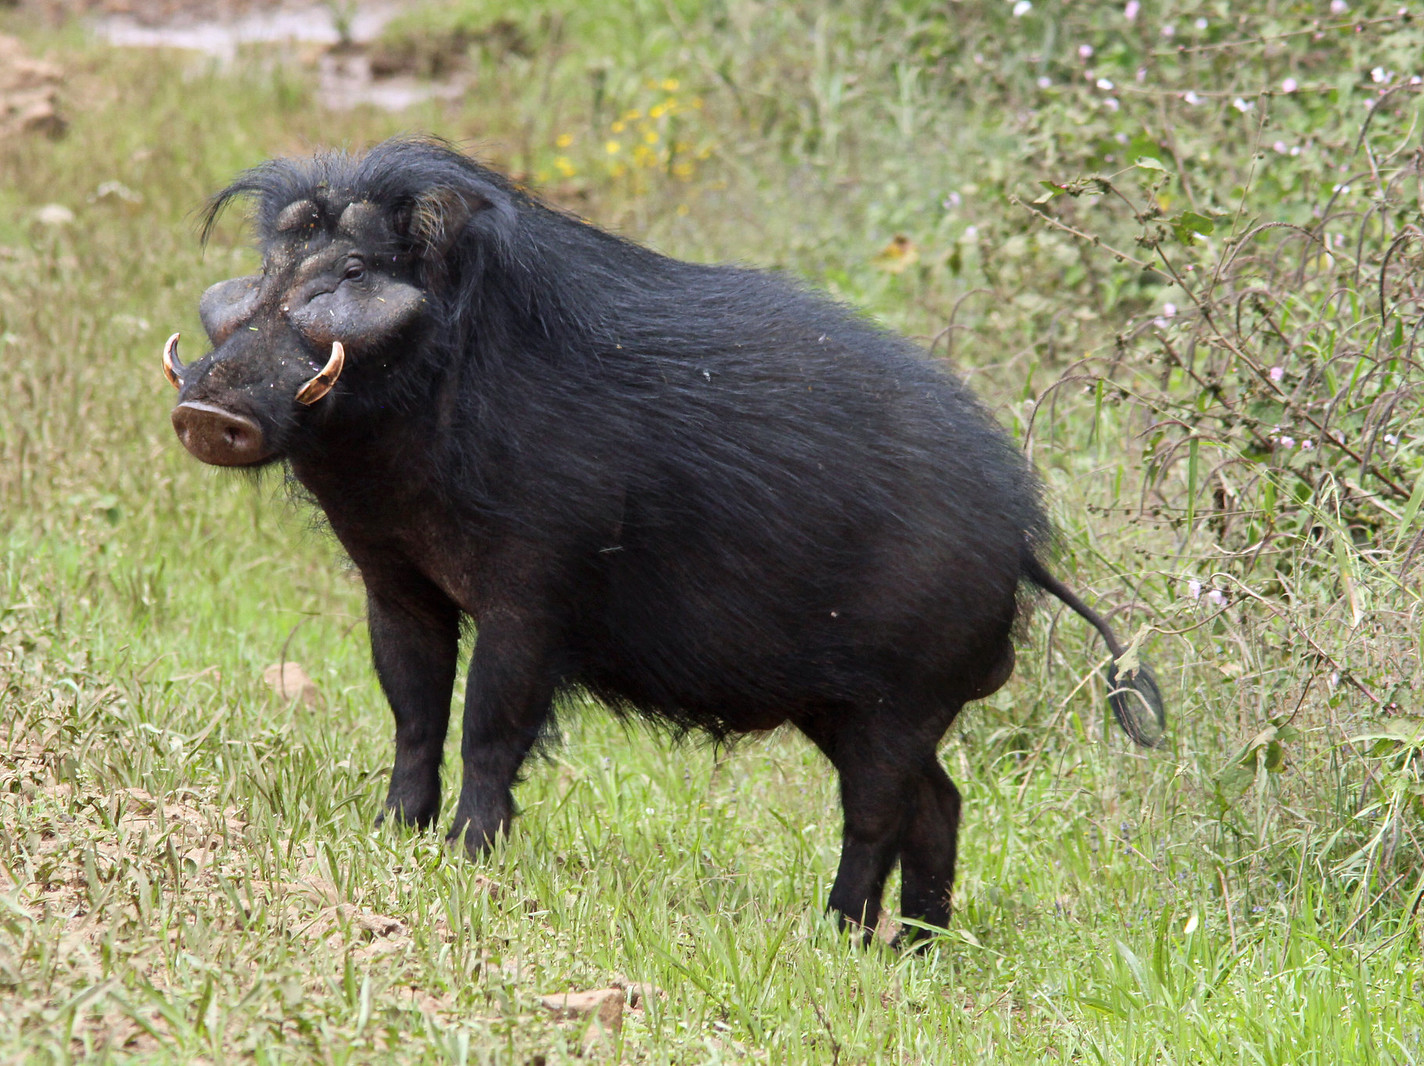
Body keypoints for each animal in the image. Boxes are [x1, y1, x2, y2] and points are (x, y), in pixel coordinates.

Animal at [166, 137, 1161, 945]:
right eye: (273, 260)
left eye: (355, 268)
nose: (208, 410)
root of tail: (1025, 540)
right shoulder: (397, 583)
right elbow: (413, 713)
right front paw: (392, 836)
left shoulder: (532, 599)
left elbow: (490, 728)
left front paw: (466, 856)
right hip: (856, 710)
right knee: (939, 803)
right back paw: (913, 949)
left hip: (899, 703)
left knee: (878, 814)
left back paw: (836, 937)